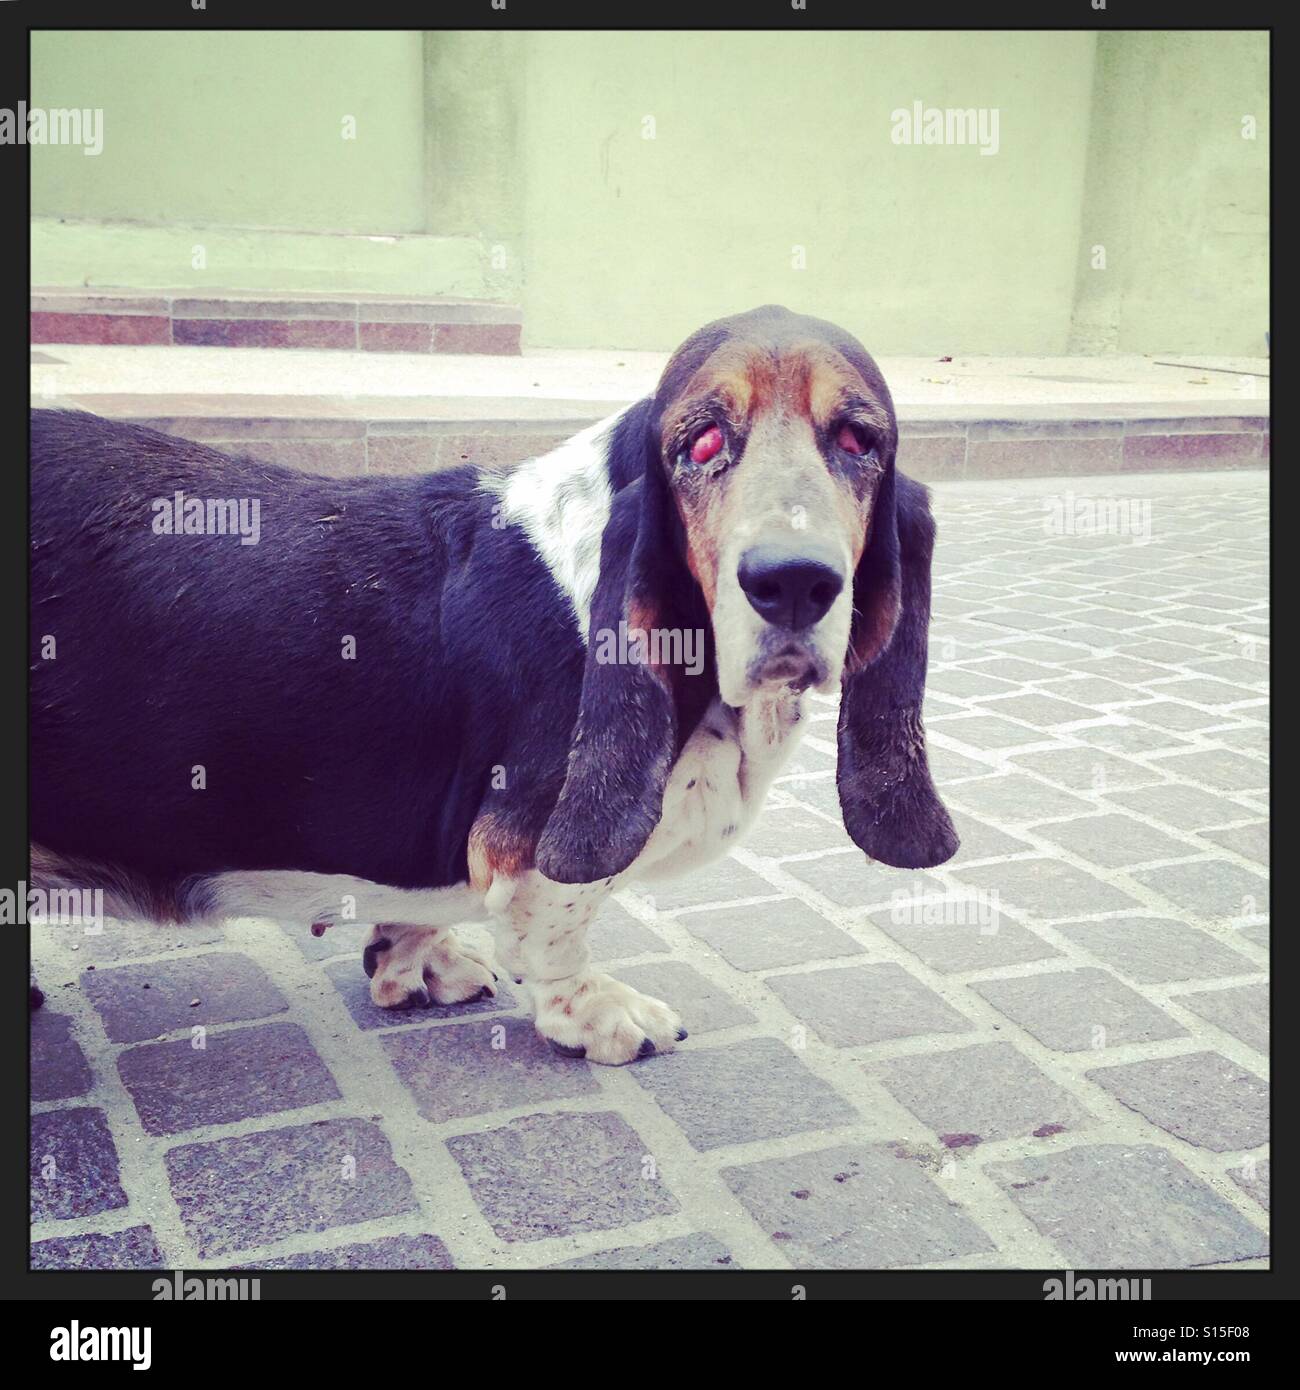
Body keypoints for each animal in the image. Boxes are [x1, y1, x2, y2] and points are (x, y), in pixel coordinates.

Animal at [30, 304, 956, 1061]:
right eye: (699, 443)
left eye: (858, 440)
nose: (793, 582)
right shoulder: (531, 843)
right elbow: (557, 928)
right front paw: (596, 1015)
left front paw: (418, 960)